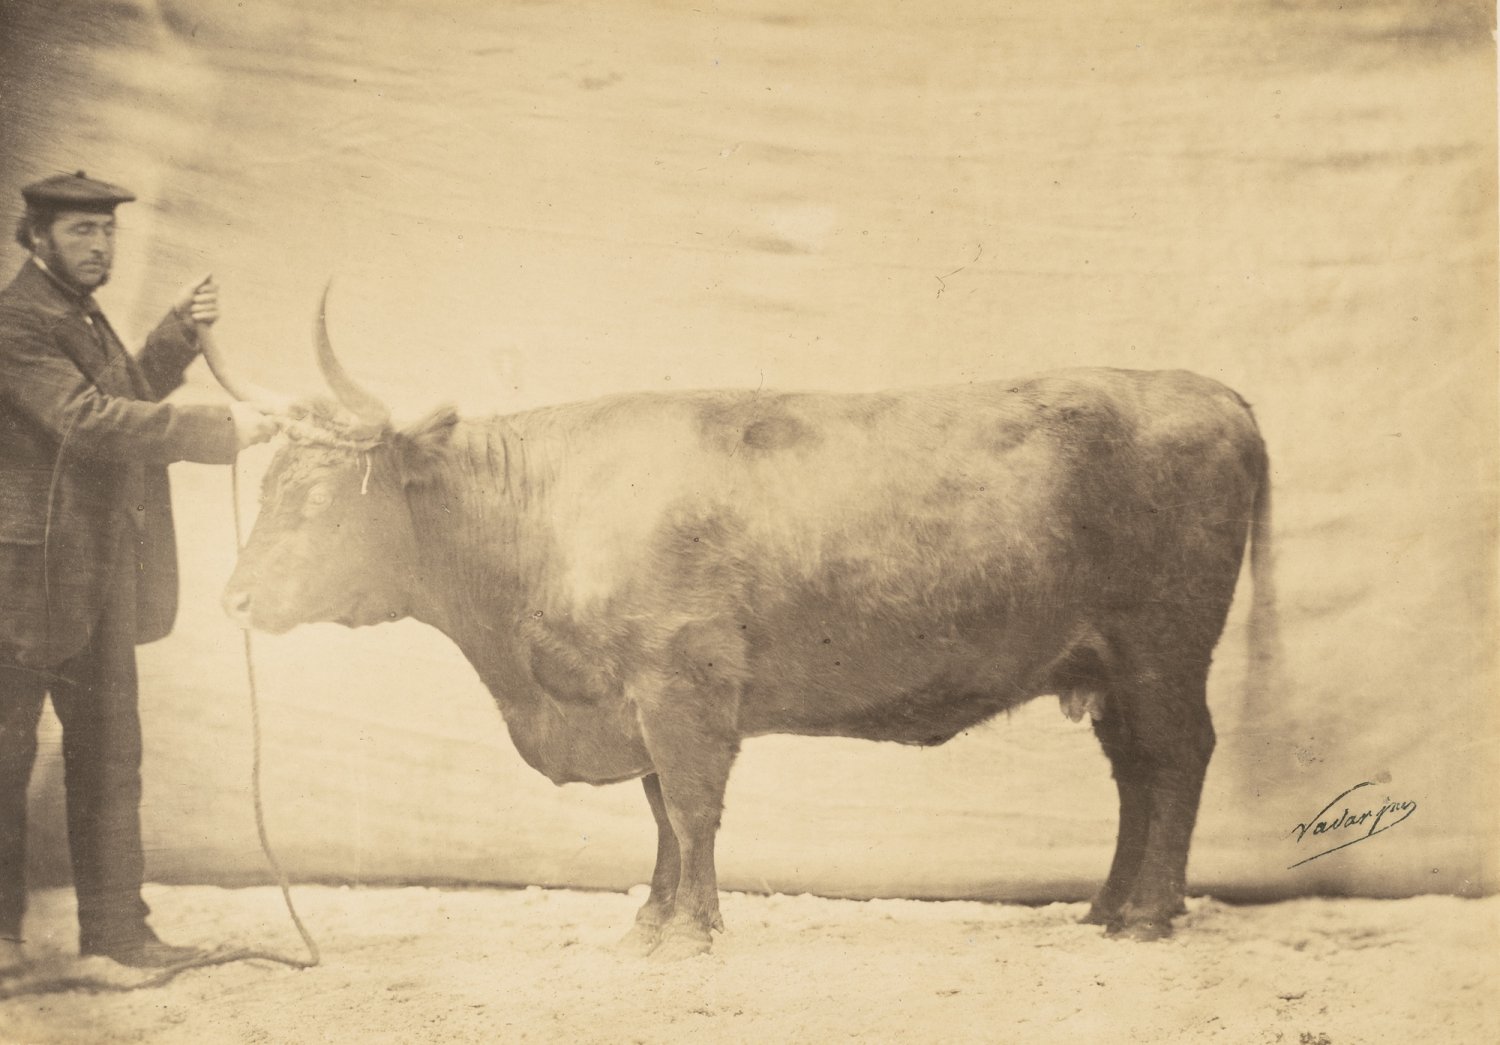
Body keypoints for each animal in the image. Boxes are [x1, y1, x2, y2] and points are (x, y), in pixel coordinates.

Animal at [216, 299, 1274, 960]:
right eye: (266, 483)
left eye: (315, 496)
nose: (235, 600)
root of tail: (1213, 391)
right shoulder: (636, 701)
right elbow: (659, 816)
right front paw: (652, 921)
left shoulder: (680, 687)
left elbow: (691, 808)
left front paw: (691, 931)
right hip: (1110, 664)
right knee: (1137, 775)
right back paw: (1107, 906)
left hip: (1162, 651)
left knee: (1177, 760)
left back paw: (1149, 916)